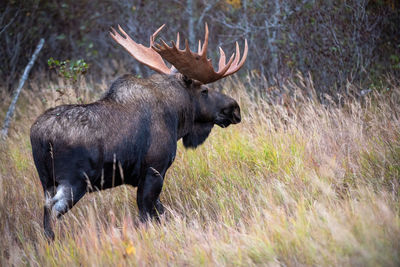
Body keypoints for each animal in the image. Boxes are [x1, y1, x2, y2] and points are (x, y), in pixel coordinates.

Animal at [30, 23, 247, 241]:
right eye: (204, 90)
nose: (234, 108)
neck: (177, 118)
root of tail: (38, 137)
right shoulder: (154, 171)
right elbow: (147, 215)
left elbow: (160, 212)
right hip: (74, 182)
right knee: (52, 211)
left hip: (47, 182)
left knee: (46, 211)